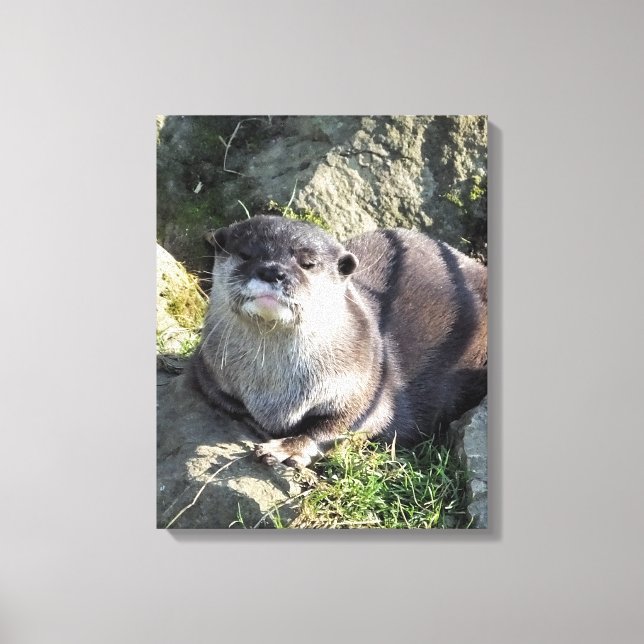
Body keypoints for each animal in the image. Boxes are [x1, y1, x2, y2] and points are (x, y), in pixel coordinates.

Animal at [190, 214, 487, 468]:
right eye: (245, 254)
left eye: (307, 263)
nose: (272, 271)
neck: (275, 393)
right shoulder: (207, 367)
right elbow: (228, 403)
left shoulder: (369, 384)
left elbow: (341, 425)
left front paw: (288, 448)